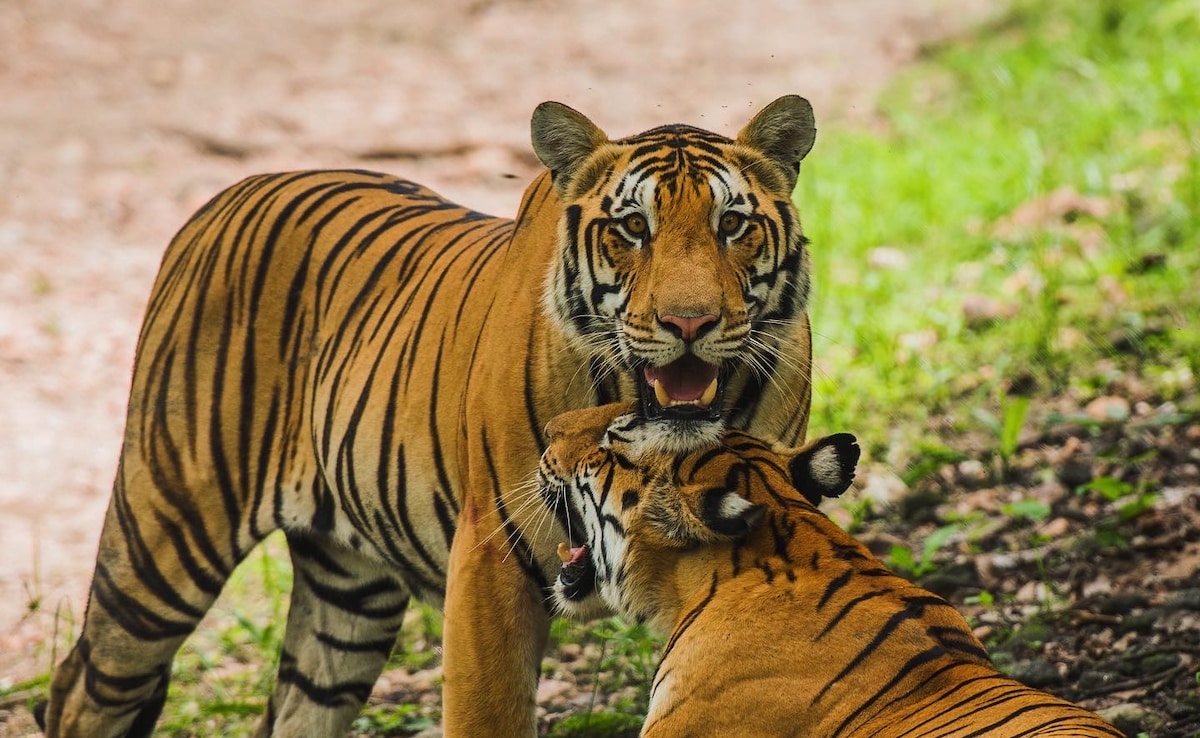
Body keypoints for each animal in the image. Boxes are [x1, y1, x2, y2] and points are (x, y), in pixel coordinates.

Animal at [35, 95, 820, 738]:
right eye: (632, 228)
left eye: (732, 224)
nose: (689, 322)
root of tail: (228, 194)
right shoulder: (491, 555)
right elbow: (488, 715)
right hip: (164, 535)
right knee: (81, 687)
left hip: (347, 597)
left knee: (293, 708)